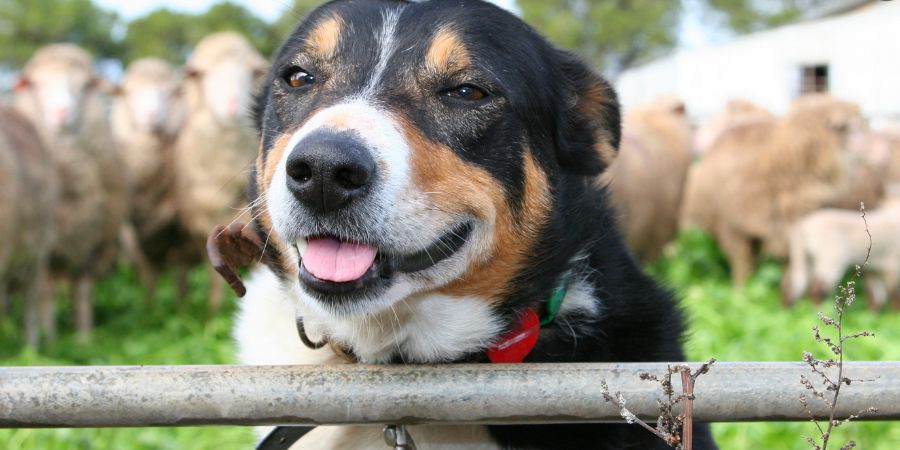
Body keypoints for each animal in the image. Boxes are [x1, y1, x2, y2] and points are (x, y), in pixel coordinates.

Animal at [110, 57, 193, 302]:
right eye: (129, 92)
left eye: (169, 93)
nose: (152, 116)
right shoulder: (135, 243)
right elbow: (148, 281)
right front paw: (150, 306)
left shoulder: (181, 239)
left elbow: (182, 281)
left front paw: (183, 308)